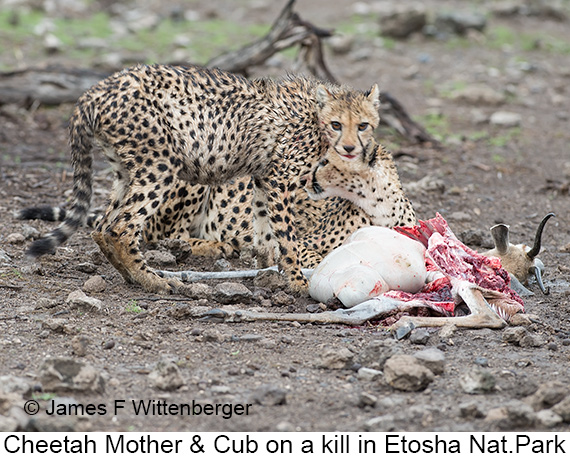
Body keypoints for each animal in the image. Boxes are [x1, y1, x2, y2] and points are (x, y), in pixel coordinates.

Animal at [23, 63, 378, 292]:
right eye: (336, 124)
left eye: (363, 125)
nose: (349, 147)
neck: (313, 118)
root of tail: (97, 90)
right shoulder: (279, 181)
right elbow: (287, 239)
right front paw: (299, 284)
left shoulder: (262, 178)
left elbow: (265, 234)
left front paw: (270, 274)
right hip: (162, 165)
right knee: (124, 228)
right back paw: (155, 280)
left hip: (126, 169)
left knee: (103, 226)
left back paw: (133, 277)